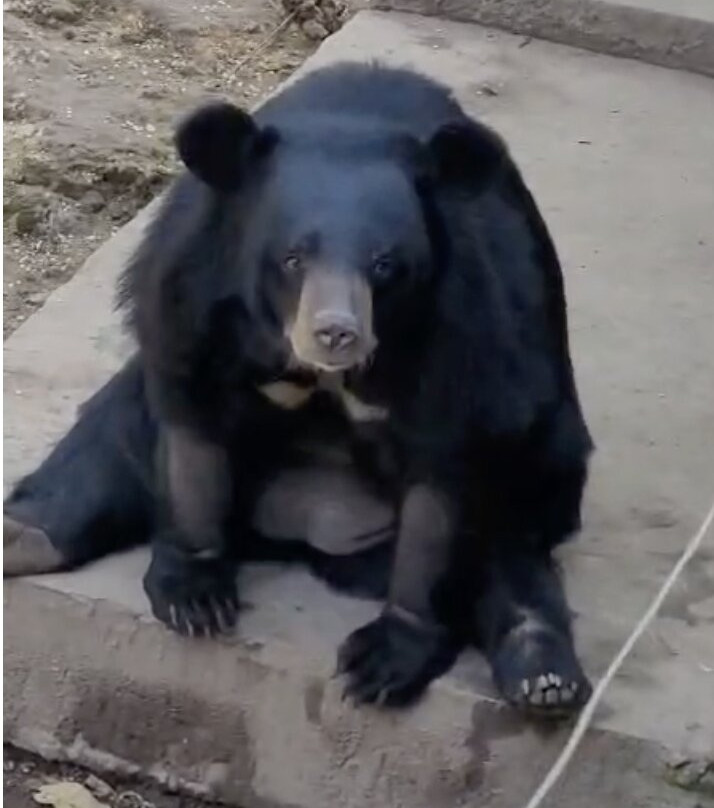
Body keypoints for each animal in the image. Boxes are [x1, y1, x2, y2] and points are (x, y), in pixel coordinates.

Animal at [4, 62, 594, 716]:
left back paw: (543, 676)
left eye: (384, 264)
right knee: (108, 439)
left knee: (509, 551)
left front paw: (382, 660)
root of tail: (303, 526)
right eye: (292, 258)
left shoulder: (473, 326)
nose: (335, 332)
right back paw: (22, 539)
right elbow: (192, 429)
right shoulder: (192, 284)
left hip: (544, 463)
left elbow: (444, 481)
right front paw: (195, 595)